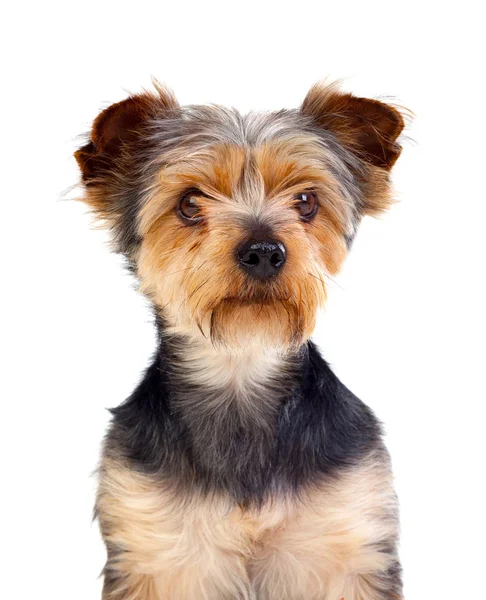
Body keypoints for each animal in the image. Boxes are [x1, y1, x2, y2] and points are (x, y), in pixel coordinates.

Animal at [76, 81, 408, 600]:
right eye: (190, 203)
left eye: (306, 201)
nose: (264, 251)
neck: (240, 366)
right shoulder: (154, 550)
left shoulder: (348, 538)